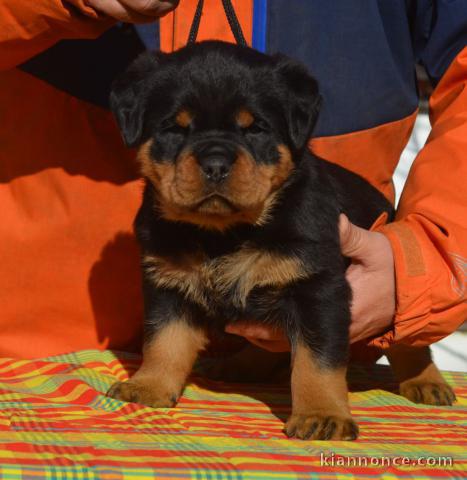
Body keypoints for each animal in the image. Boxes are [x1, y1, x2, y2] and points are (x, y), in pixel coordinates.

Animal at [108, 40, 456, 438]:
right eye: (173, 128)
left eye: (256, 129)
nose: (215, 164)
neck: (225, 232)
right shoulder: (167, 282)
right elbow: (163, 340)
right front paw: (148, 386)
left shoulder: (318, 289)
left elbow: (316, 362)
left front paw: (322, 415)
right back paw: (239, 366)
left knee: (409, 338)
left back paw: (427, 381)